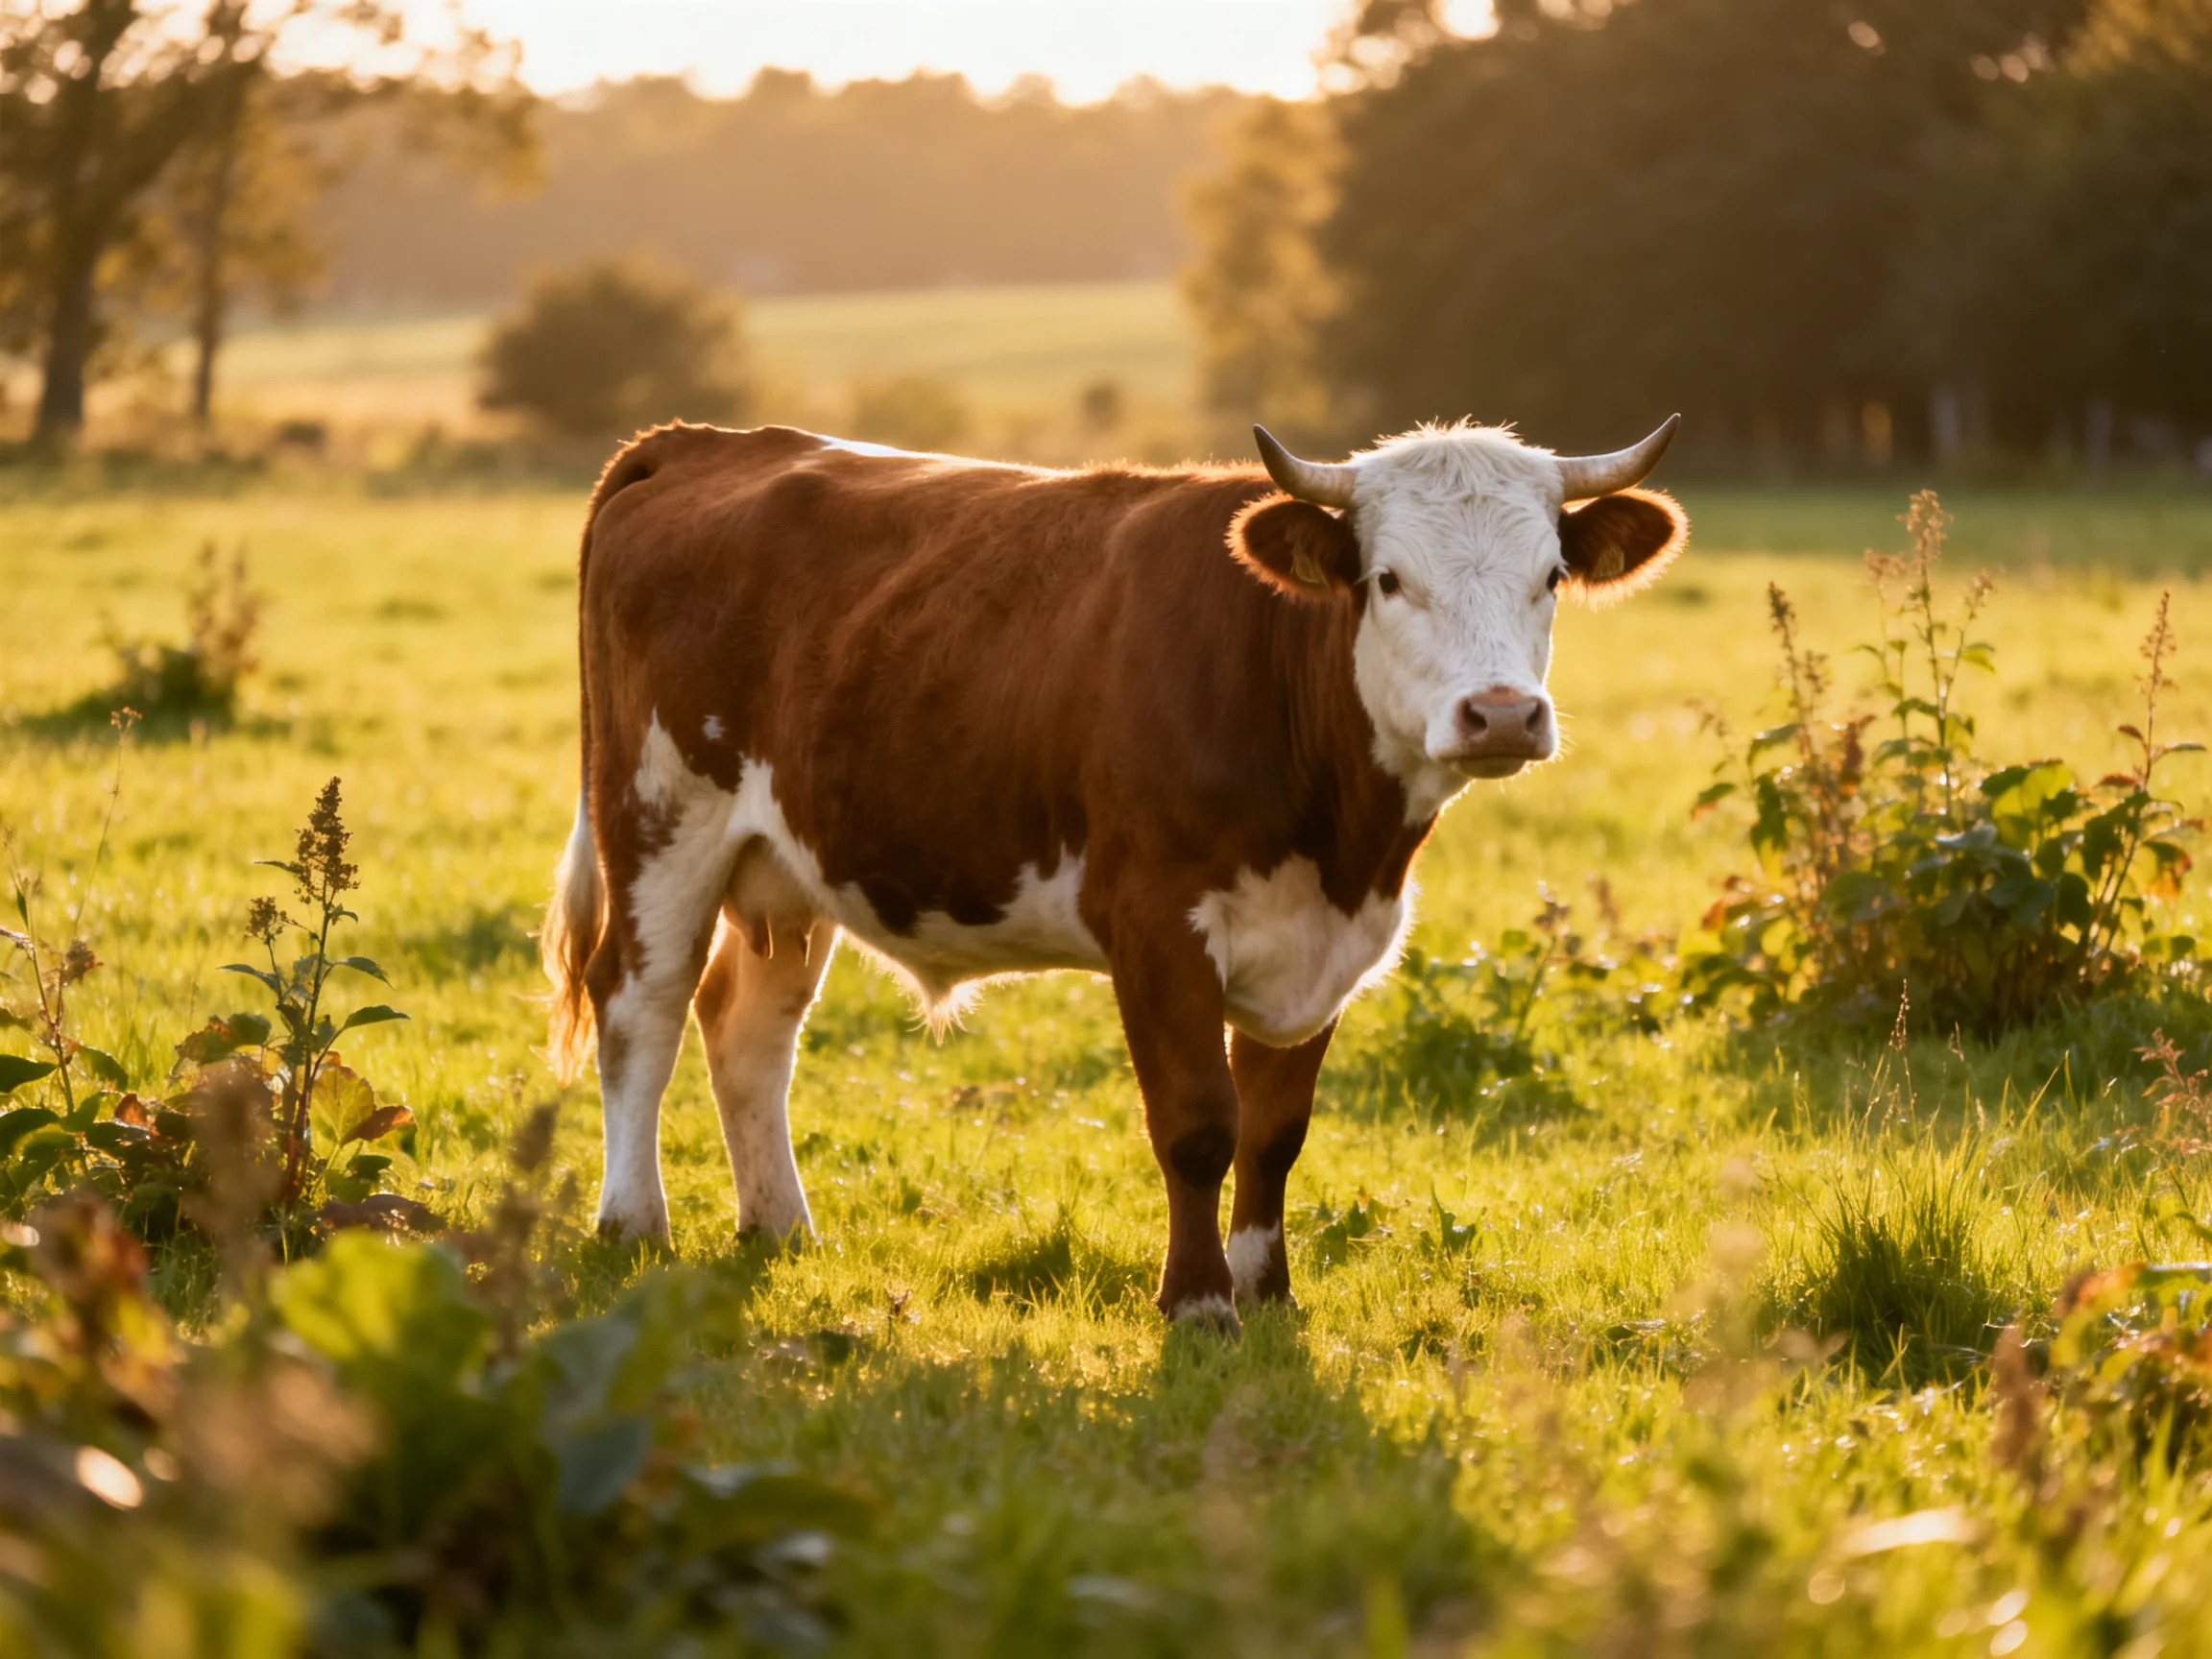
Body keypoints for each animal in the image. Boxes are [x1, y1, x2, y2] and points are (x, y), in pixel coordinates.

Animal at [541, 415, 1687, 1329]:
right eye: (1389, 579)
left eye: (1549, 577)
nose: (1501, 714)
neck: (1343, 841)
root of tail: (704, 442)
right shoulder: (1155, 926)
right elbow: (1198, 1125)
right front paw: (1199, 1304)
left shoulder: (1323, 947)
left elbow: (1275, 1134)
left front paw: (1269, 1295)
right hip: (659, 817)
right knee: (641, 1008)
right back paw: (633, 1223)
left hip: (787, 860)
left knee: (748, 1030)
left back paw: (780, 1227)